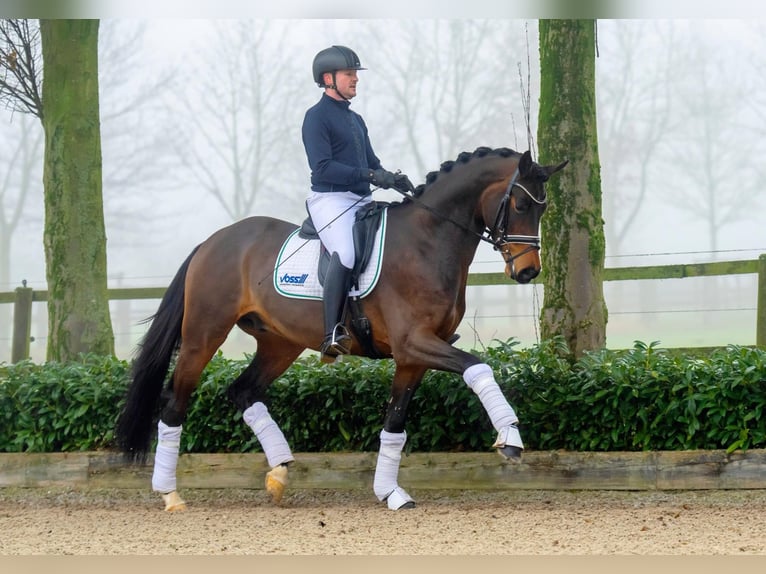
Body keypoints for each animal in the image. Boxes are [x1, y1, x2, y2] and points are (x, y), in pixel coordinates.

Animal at [115, 147, 568, 512]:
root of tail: (212, 242)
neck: (428, 240)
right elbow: (478, 368)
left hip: (278, 344)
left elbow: (395, 423)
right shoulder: (415, 343)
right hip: (203, 335)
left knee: (243, 391)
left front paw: (390, 493)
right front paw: (510, 438)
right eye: (520, 204)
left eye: (542, 209)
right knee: (174, 402)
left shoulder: (413, 357)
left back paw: (279, 473)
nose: (528, 272)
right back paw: (170, 494)